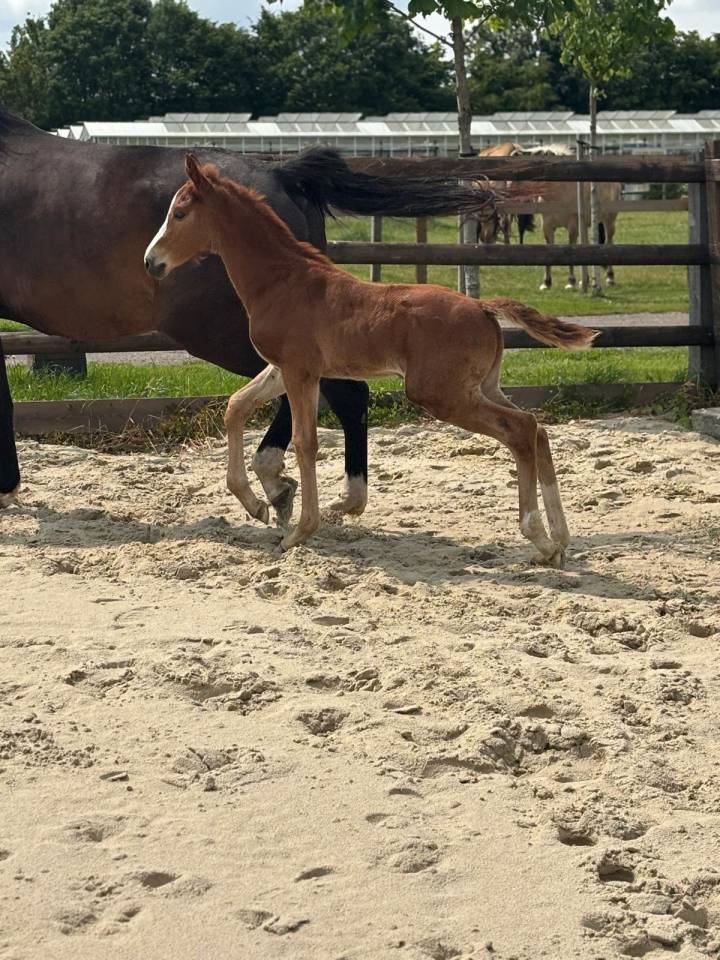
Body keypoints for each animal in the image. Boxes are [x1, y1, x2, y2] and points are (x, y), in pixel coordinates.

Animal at [0, 104, 495, 519]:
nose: (151, 261)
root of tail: (281, 172)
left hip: (232, 332)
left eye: (179, 215)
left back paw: (293, 487)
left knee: (343, 393)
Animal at [145, 155, 598, 567]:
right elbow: (236, 406)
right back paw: (560, 539)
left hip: (442, 394)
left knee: (520, 430)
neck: (284, 281)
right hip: (482, 386)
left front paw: (300, 532)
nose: (151, 261)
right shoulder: (282, 367)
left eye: (179, 213)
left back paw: (539, 536)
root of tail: (484, 307)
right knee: (537, 428)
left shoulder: (300, 371)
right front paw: (255, 504)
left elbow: (305, 442)